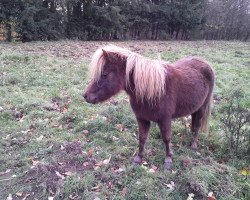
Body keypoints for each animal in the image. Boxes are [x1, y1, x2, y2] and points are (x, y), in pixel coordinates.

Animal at [83, 45, 215, 169]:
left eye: (105, 74)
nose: (85, 96)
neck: (151, 91)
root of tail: (205, 63)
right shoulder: (142, 119)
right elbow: (142, 138)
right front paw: (138, 158)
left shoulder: (165, 120)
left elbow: (166, 138)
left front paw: (168, 159)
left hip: (202, 107)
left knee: (197, 126)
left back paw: (193, 145)